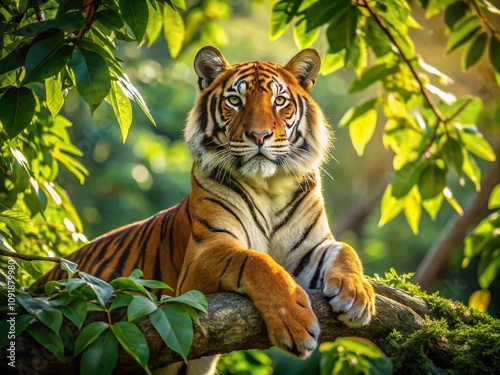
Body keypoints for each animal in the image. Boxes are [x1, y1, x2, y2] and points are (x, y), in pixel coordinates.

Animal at [39, 47, 376, 375]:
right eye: (235, 101)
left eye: (279, 101)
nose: (259, 136)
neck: (269, 187)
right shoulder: (203, 255)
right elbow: (256, 261)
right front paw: (294, 320)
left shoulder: (310, 247)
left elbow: (345, 250)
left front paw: (357, 293)